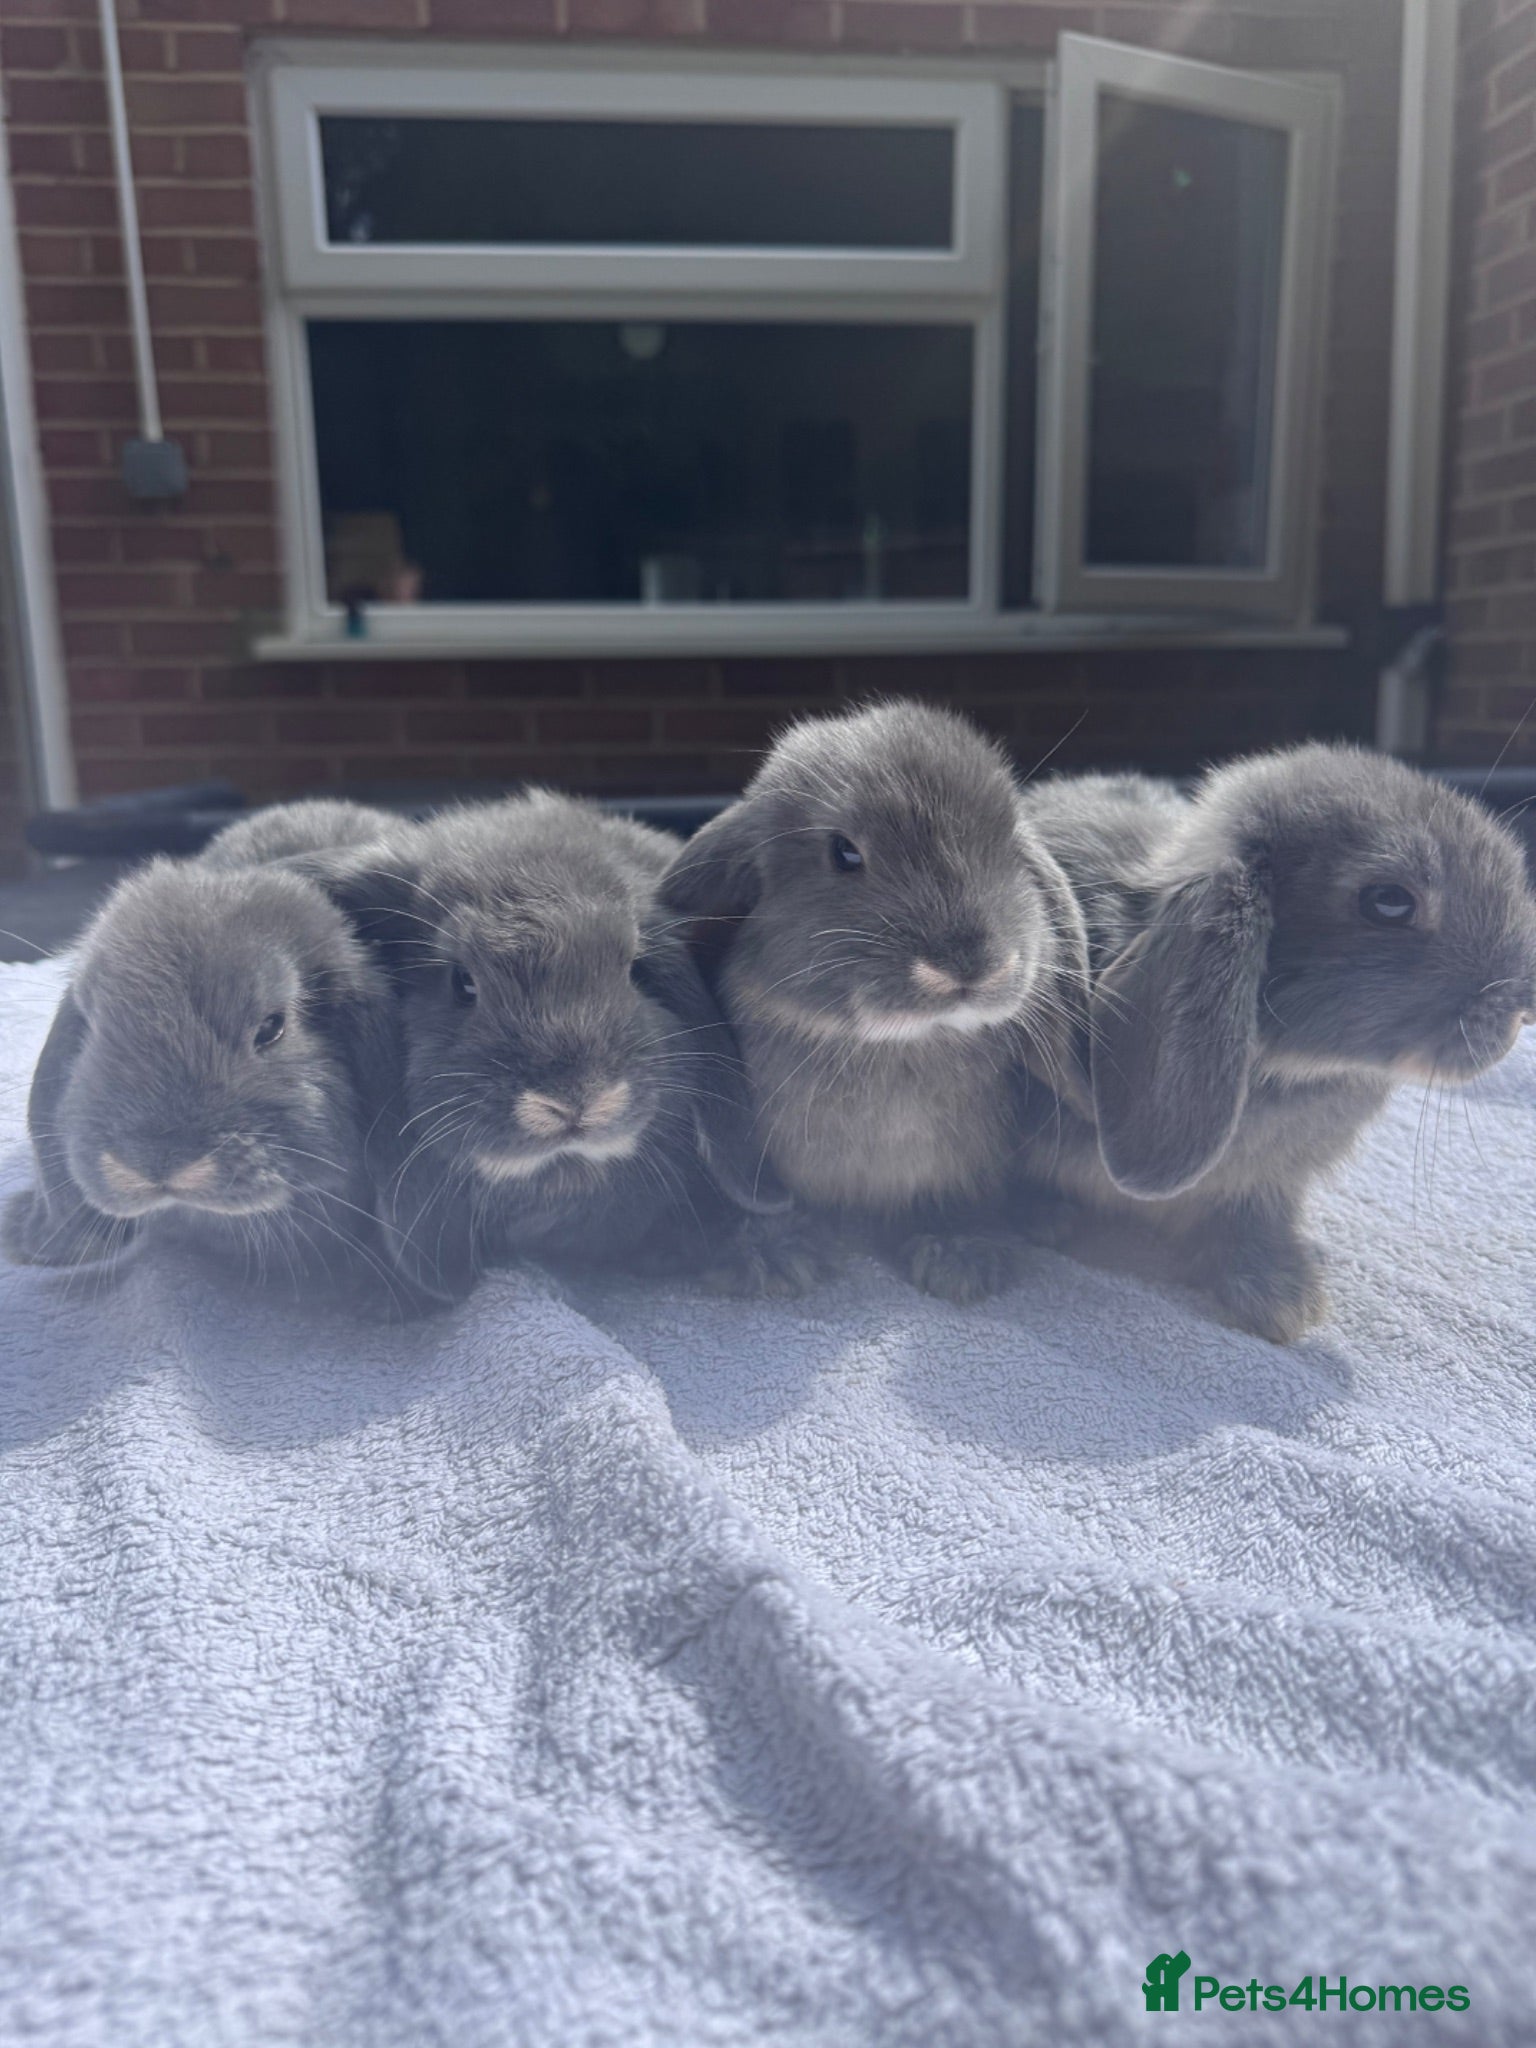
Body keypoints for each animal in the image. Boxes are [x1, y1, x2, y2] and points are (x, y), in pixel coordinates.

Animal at [656, 700, 1091, 1304]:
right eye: (844, 852)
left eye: (1007, 844)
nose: (972, 967)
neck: (895, 1044)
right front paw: (767, 1257)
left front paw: (960, 1255)